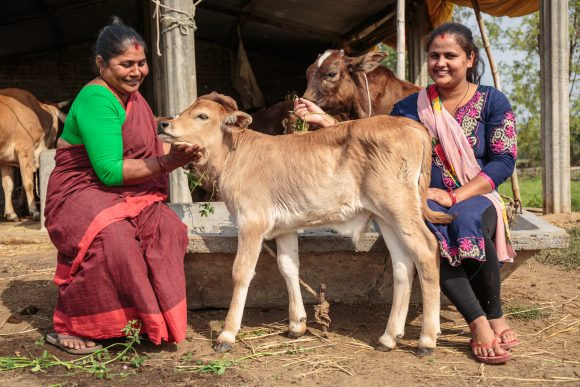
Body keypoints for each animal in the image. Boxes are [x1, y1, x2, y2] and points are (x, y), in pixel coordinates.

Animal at [0, 88, 66, 221]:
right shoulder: (25, 151)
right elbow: (28, 183)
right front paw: (34, 211)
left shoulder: (6, 159)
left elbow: (8, 185)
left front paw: (11, 214)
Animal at [160, 91, 454, 358]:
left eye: (202, 116)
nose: (164, 124)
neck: (234, 156)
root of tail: (412, 126)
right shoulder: (285, 226)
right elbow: (288, 267)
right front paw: (297, 325)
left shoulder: (251, 221)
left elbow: (241, 272)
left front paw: (227, 334)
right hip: (385, 215)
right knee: (402, 264)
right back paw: (389, 337)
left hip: (399, 205)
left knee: (427, 250)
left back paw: (427, 340)